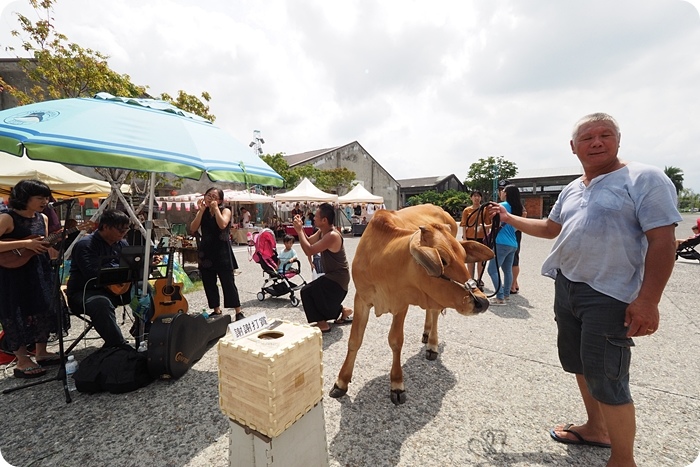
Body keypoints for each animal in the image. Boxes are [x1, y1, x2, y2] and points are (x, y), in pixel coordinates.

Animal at [330, 206, 494, 406]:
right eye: (443, 260)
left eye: (464, 257)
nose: (482, 301)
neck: (382, 262)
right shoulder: (361, 299)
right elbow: (355, 340)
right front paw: (341, 382)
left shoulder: (402, 304)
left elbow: (395, 341)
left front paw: (397, 384)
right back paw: (426, 333)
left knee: (434, 312)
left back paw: (432, 345)